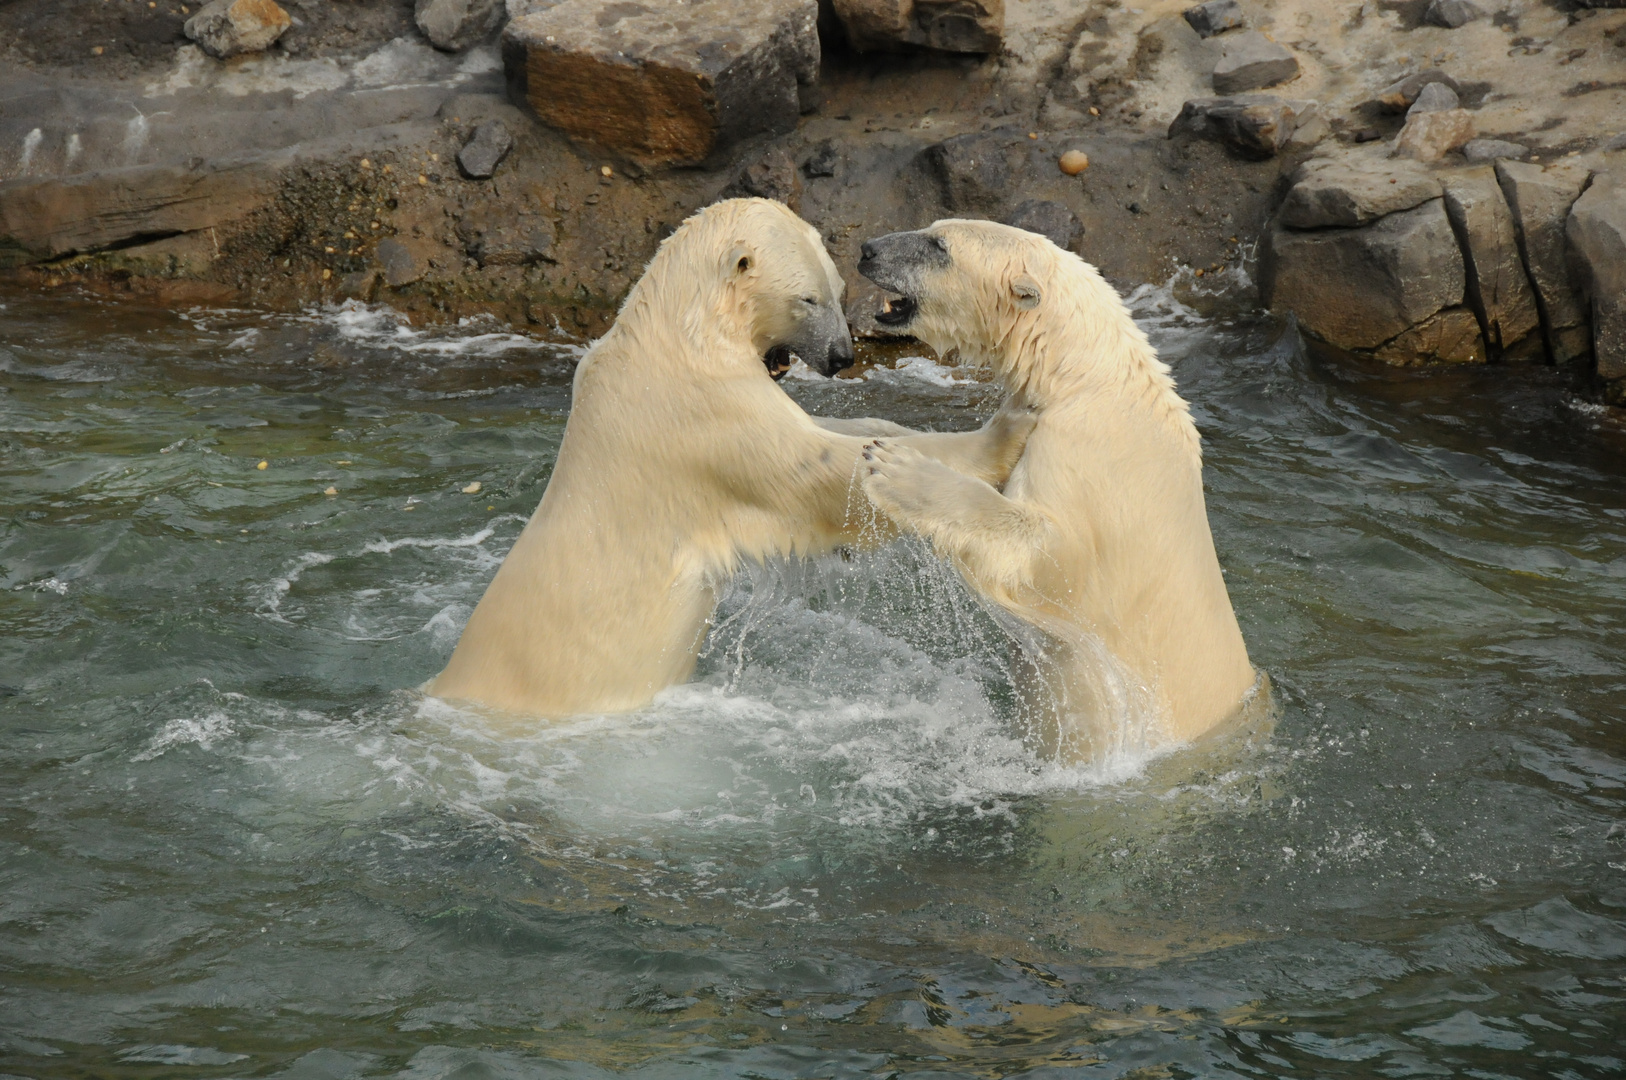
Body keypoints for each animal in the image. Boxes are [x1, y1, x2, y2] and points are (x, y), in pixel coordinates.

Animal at [432, 202, 1034, 725]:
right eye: (809, 299)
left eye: (840, 291)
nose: (842, 357)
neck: (672, 337)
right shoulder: (702, 417)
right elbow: (814, 470)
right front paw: (1006, 428)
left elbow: (844, 430)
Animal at [852, 217, 1255, 757]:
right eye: (934, 228)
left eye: (940, 246)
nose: (867, 249)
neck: (1082, 376)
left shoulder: (1089, 457)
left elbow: (1048, 551)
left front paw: (896, 468)